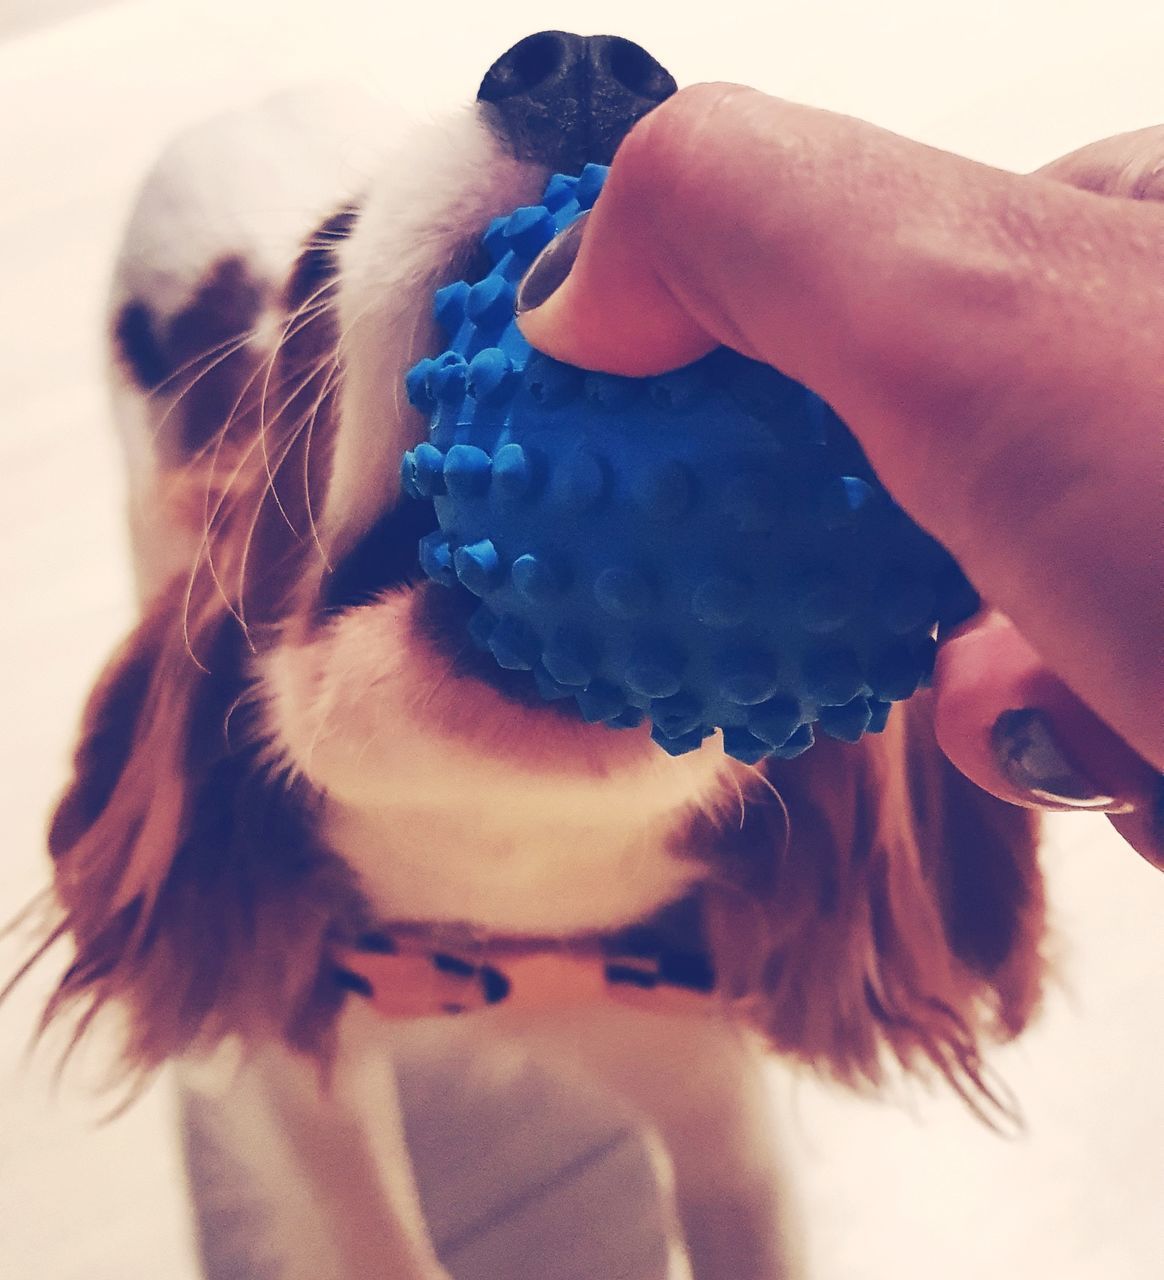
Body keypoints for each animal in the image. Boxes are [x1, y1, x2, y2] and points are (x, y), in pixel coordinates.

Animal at [29, 30, 1044, 1280]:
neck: (504, 914)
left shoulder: (700, 1055)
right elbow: (371, 1228)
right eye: (319, 263)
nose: (592, 69)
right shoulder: (307, 1066)